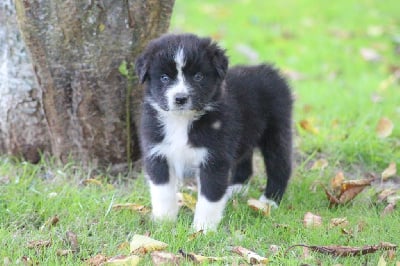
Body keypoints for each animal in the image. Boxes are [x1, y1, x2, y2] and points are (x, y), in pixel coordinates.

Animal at [136, 34, 292, 232]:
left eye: (198, 76)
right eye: (164, 77)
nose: (180, 98)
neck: (182, 121)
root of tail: (269, 70)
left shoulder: (214, 158)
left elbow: (210, 196)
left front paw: (203, 230)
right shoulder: (157, 152)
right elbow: (162, 191)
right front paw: (164, 223)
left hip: (277, 130)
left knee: (280, 164)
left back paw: (269, 202)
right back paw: (235, 188)